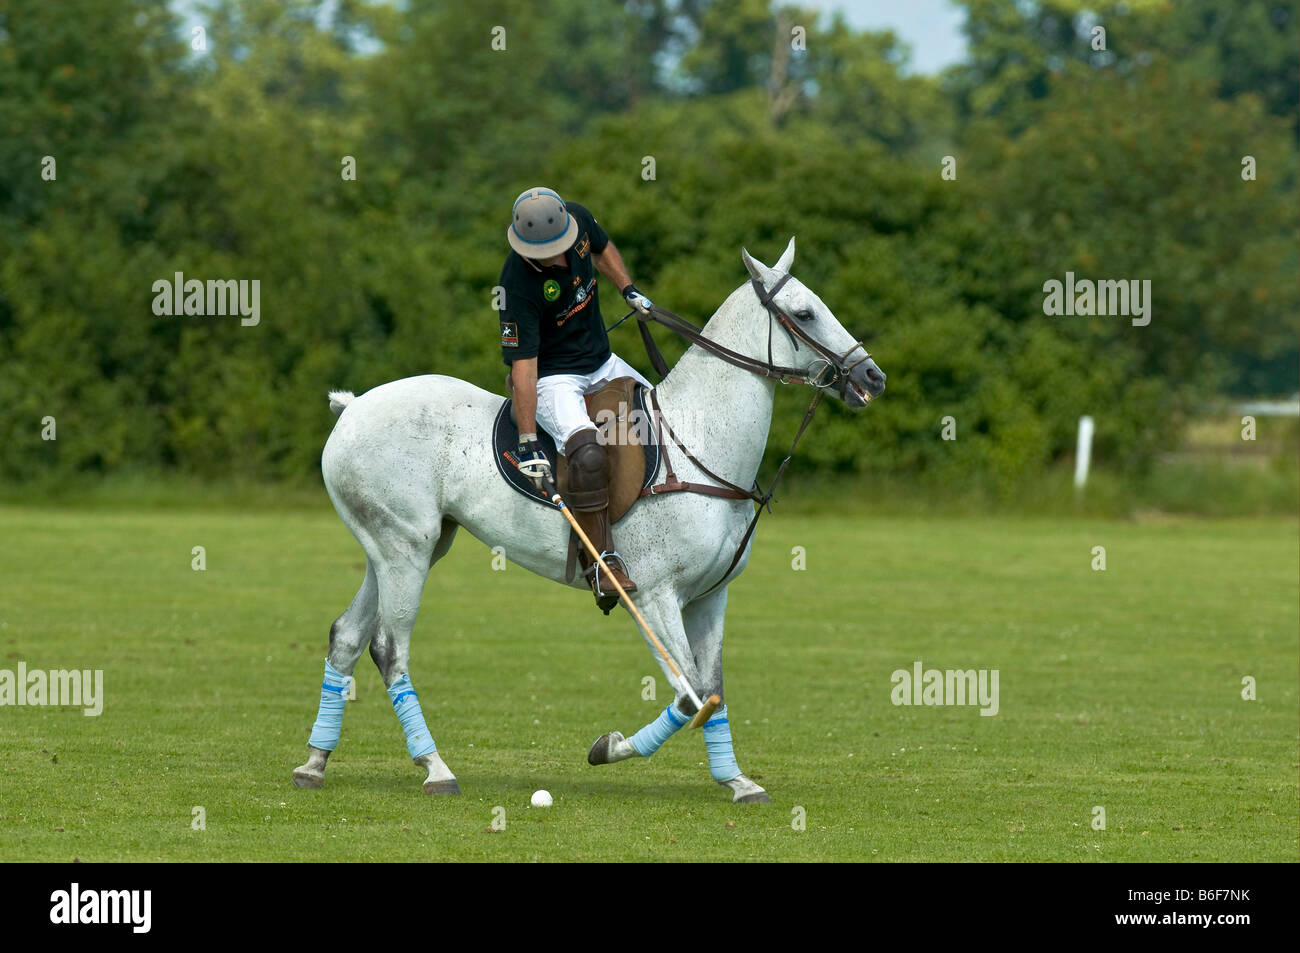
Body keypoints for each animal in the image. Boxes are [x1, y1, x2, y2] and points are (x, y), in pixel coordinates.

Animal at [292, 234, 883, 800]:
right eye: (805, 313)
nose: (872, 377)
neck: (699, 443)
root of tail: (353, 406)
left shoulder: (711, 595)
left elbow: (711, 689)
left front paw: (738, 782)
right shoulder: (655, 596)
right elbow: (689, 693)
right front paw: (609, 747)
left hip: (406, 545)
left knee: (347, 635)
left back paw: (315, 762)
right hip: (405, 546)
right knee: (389, 647)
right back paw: (435, 769)